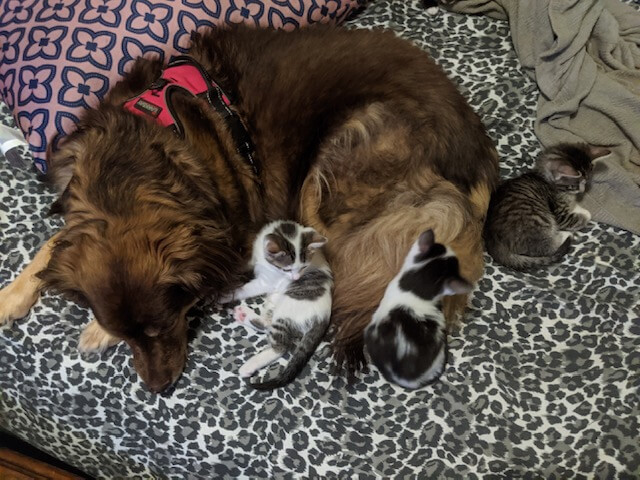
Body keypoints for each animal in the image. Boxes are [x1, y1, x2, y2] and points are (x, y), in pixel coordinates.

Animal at [220, 221, 332, 390]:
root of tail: (324, 317)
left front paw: (225, 294)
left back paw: (249, 365)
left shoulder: (266, 283)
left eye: (304, 267)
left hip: (287, 309)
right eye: (287, 269)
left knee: (280, 346)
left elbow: (246, 289)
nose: (296, 278)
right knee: (266, 323)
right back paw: (243, 315)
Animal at [484, 142, 608, 270]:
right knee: (545, 248)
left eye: (586, 182)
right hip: (538, 220)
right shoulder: (560, 214)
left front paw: (578, 207)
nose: (582, 191)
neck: (545, 179)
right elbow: (578, 218)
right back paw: (566, 235)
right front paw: (585, 213)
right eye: (574, 186)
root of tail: (494, 246)